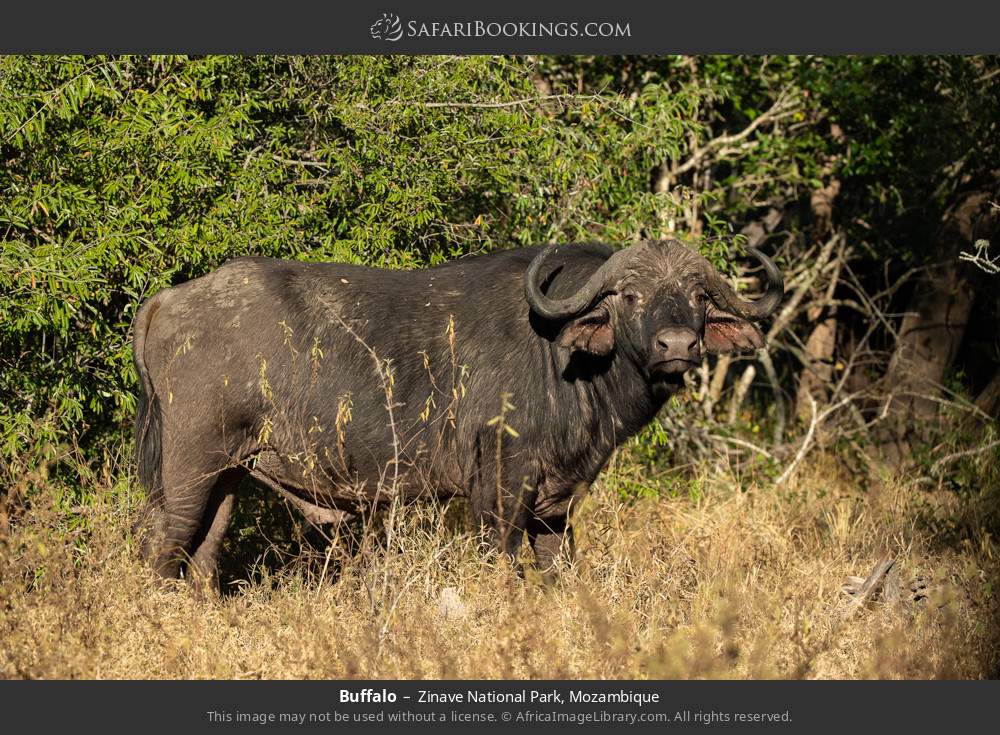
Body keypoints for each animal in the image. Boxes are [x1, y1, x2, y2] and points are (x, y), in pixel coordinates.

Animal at [133, 240, 783, 586]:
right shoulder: (501, 487)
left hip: (230, 476)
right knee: (161, 547)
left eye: (697, 296)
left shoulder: (556, 502)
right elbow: (501, 558)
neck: (560, 355)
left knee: (203, 555)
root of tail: (169, 298)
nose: (678, 345)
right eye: (630, 295)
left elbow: (557, 569)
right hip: (187, 472)